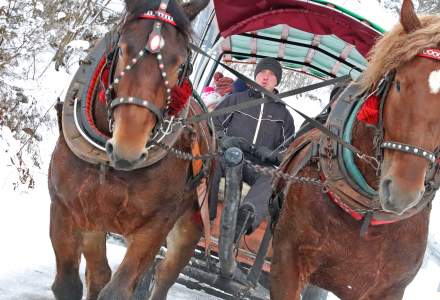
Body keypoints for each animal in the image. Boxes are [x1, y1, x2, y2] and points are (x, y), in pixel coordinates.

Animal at [49, 0, 211, 300]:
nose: (128, 147)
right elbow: (67, 284)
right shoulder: (65, 208)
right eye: (123, 49)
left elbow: (117, 290)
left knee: (163, 276)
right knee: (98, 274)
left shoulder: (155, 226)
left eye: (181, 64)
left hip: (190, 227)